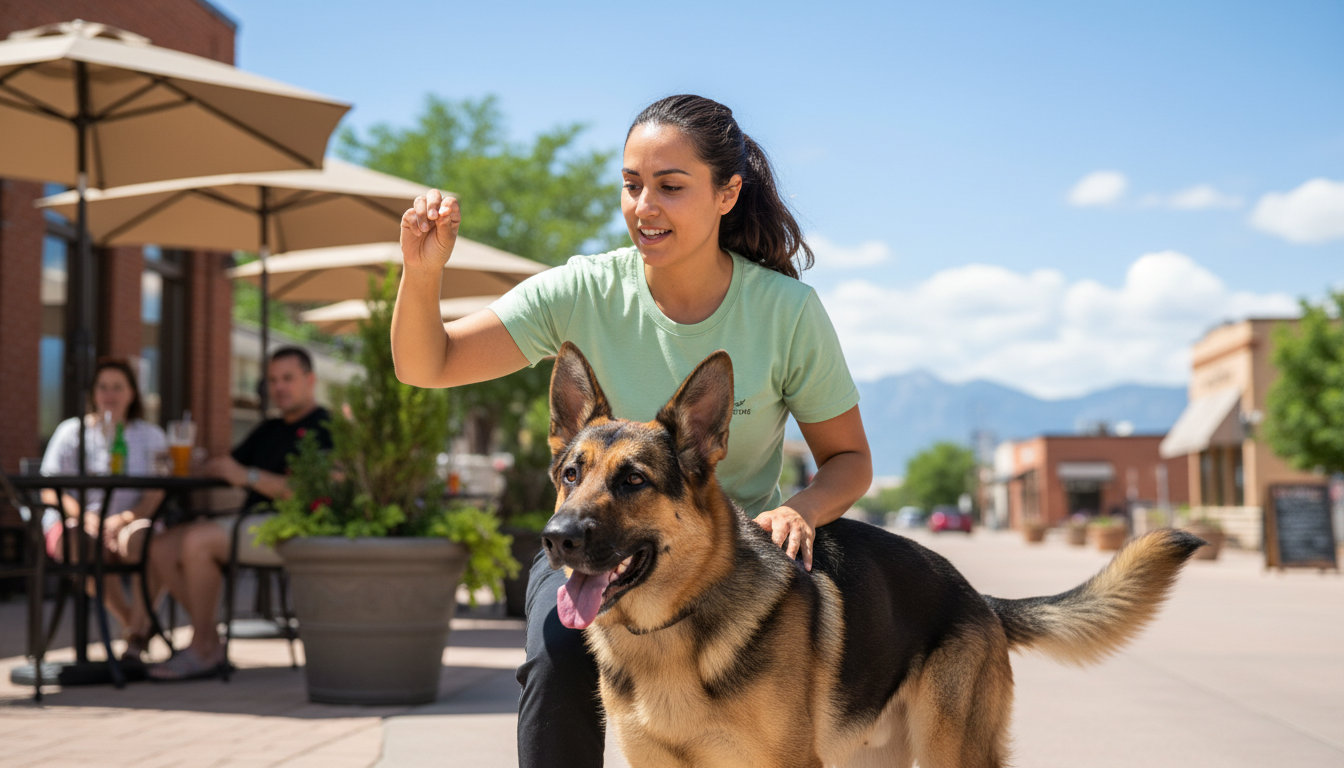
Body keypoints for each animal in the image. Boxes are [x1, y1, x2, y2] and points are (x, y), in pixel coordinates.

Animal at [540, 342, 1203, 768]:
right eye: (571, 474)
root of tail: (977, 597)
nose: (555, 537)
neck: (672, 630)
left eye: (633, 481)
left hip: (952, 753)